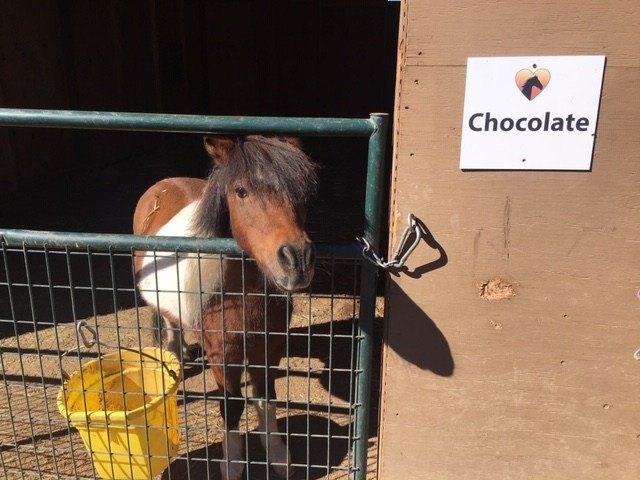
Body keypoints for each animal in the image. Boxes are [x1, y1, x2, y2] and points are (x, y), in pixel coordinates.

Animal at [132, 135, 318, 480]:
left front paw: (277, 454)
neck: (239, 299)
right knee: (171, 325)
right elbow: (231, 405)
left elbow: (266, 400)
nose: (297, 261)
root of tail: (163, 183)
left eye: (302, 190)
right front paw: (232, 463)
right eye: (241, 191)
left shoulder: (268, 350)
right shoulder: (223, 357)